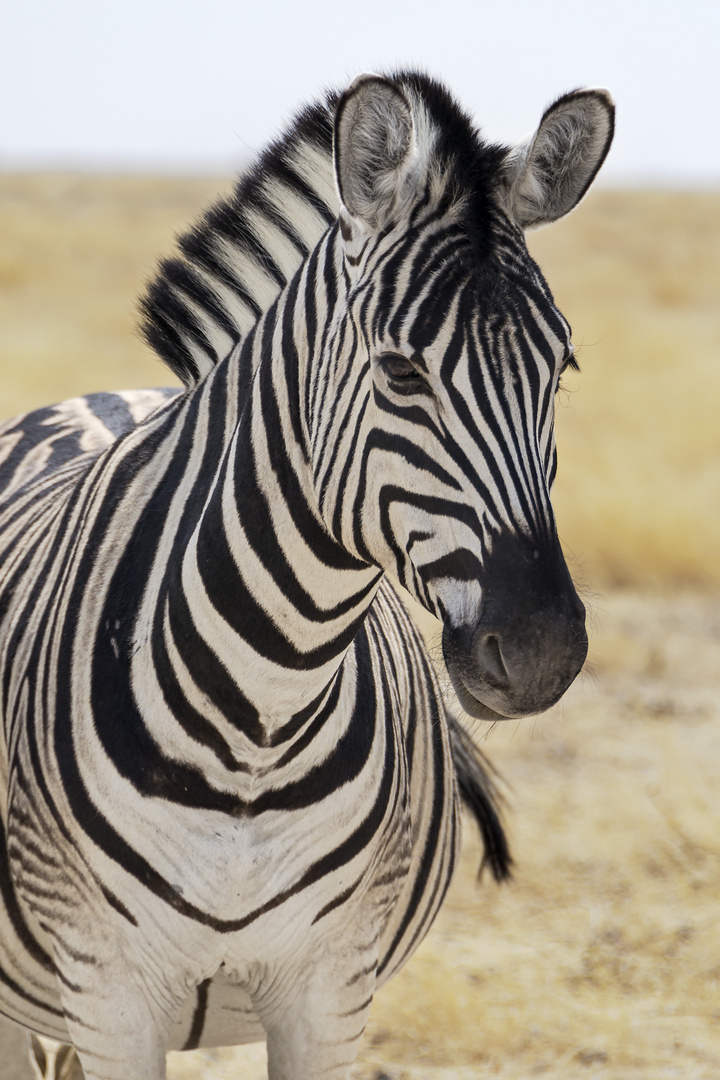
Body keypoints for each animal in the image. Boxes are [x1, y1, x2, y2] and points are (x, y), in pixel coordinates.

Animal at [0, 69, 613, 1080]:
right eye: (400, 373)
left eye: (559, 370)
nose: (541, 653)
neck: (260, 717)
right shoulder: (109, 996)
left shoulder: (330, 995)